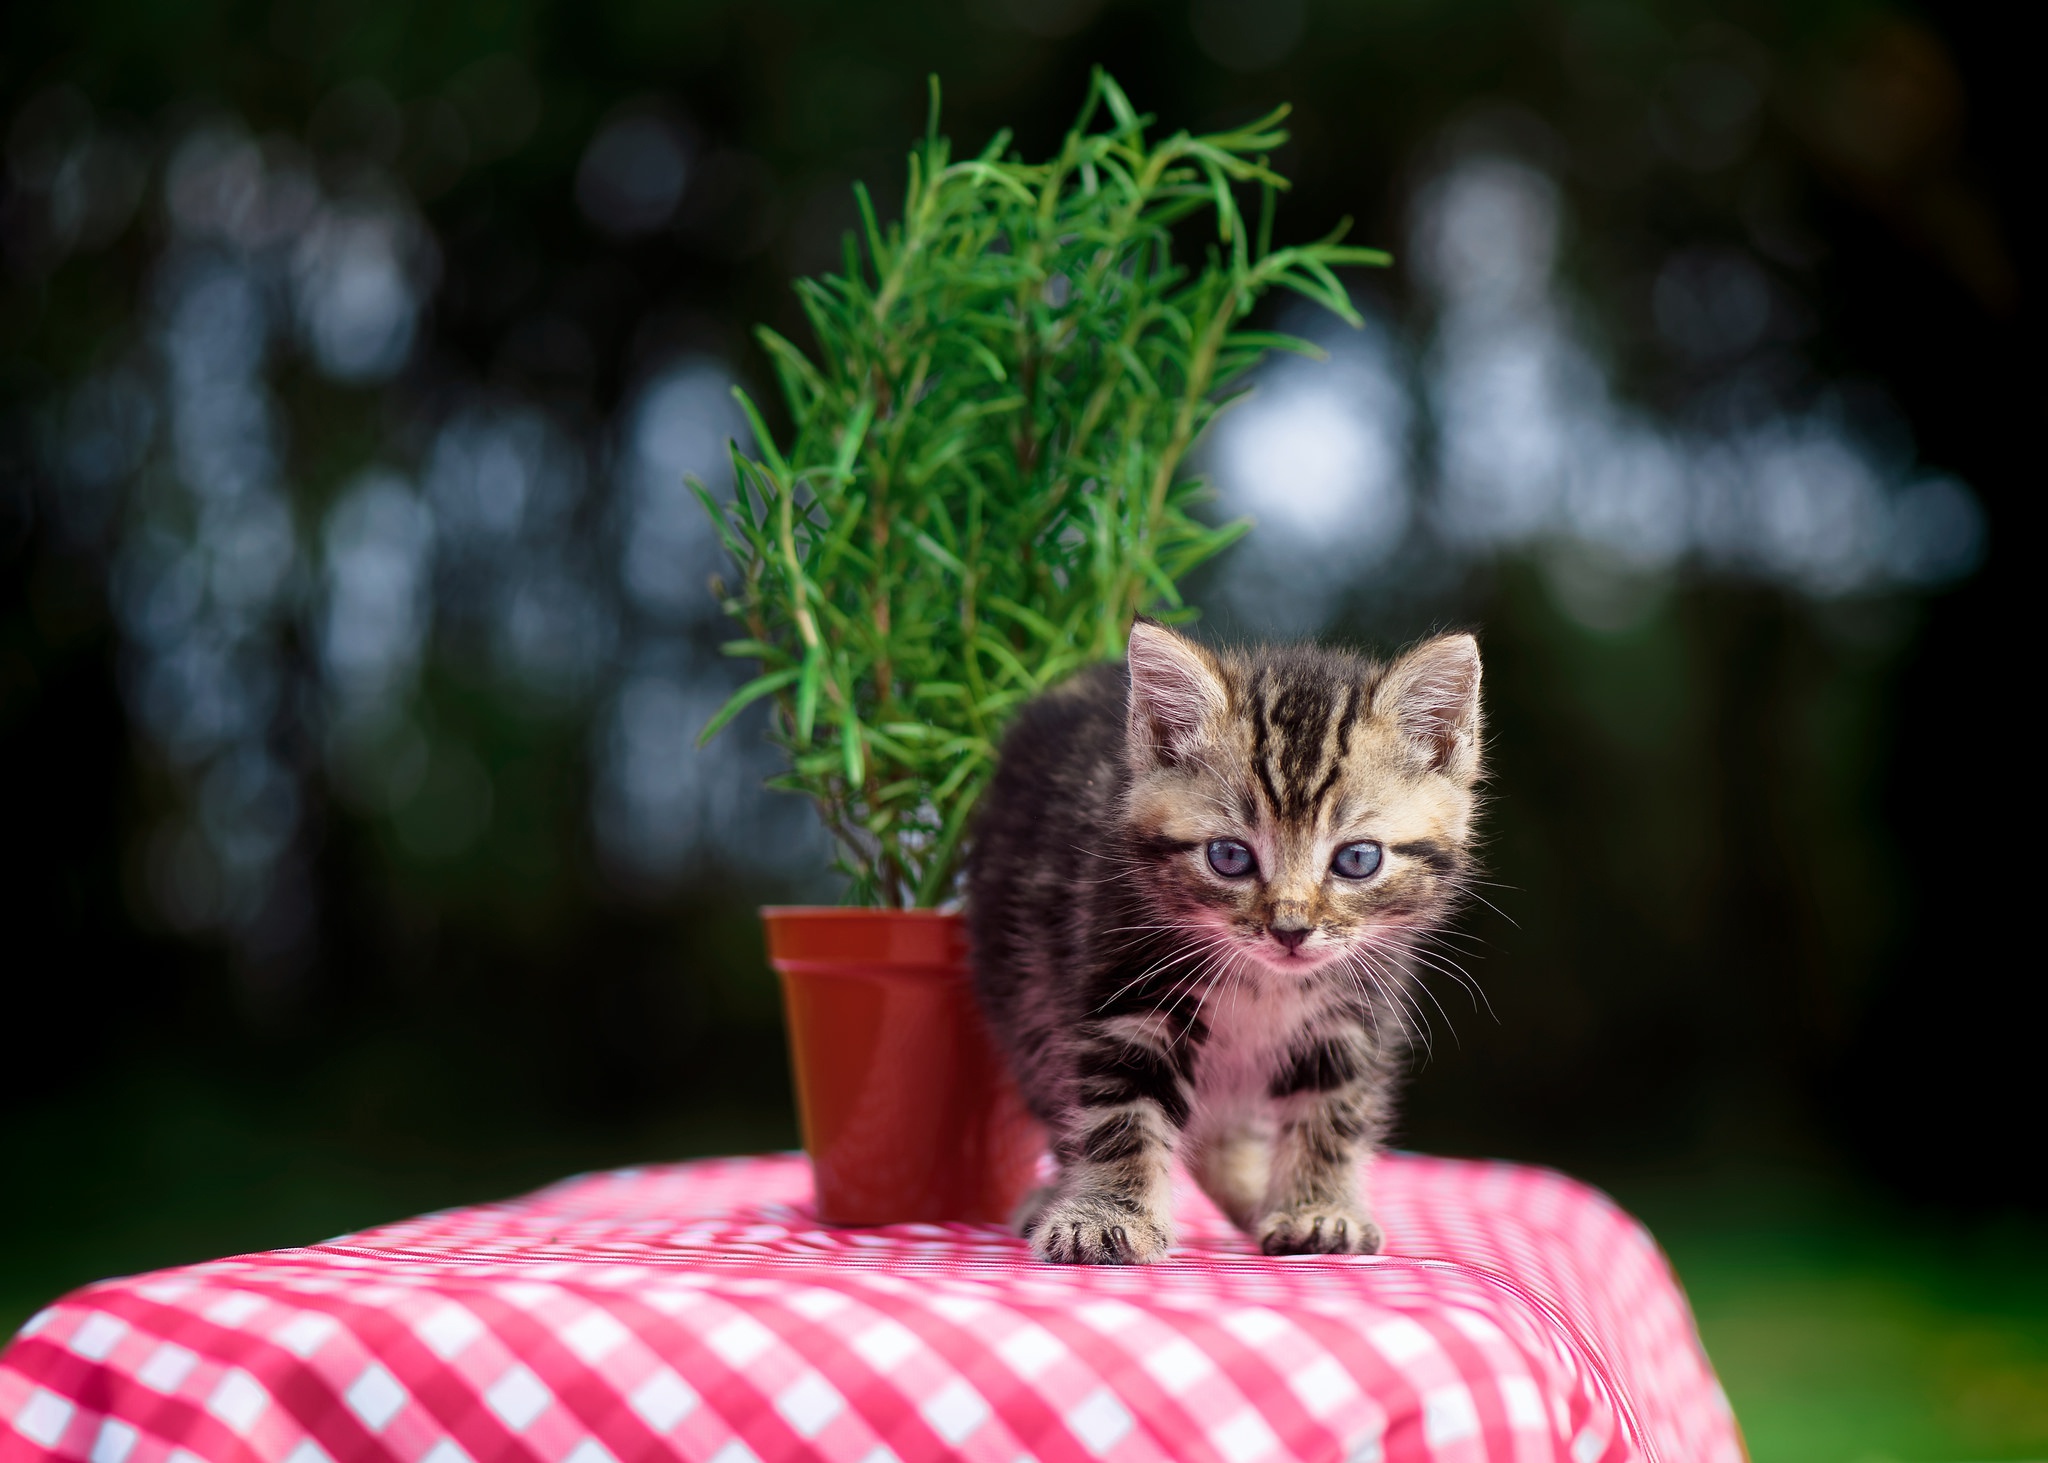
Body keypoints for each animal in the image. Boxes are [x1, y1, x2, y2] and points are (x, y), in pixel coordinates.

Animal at [966, 614, 1482, 1254]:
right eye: (1229, 857)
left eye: (1358, 859)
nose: (1291, 928)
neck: (1266, 983)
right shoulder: (1129, 987)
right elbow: (1123, 1112)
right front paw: (1109, 1212)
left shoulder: (1350, 1014)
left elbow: (1331, 1111)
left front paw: (1319, 1209)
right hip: (1023, 990)